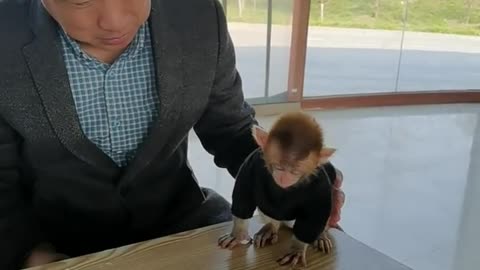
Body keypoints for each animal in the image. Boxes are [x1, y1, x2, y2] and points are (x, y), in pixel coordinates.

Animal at [218, 110, 342, 266]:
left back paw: (321, 235)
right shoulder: (252, 163)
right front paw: (238, 234)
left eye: (295, 171)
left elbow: (316, 213)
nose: (284, 178)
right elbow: (244, 195)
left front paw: (297, 249)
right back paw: (271, 228)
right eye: (279, 167)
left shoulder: (320, 184)